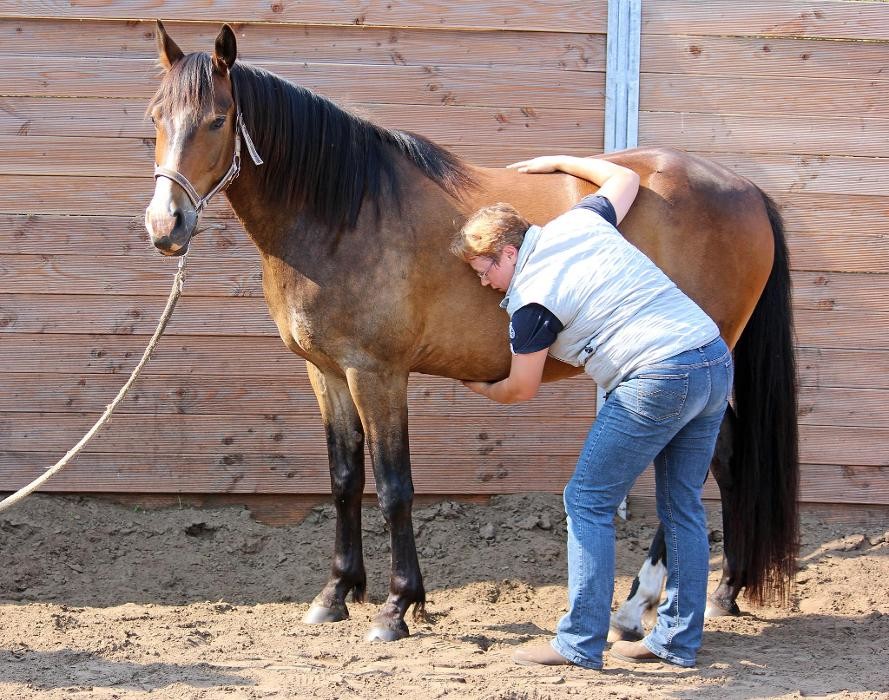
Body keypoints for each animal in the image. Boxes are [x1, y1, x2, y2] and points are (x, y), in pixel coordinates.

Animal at [146, 23, 796, 644]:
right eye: (155, 116)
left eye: (217, 119)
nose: (164, 224)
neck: (343, 215)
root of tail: (745, 189)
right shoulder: (326, 371)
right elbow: (344, 479)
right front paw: (336, 594)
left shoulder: (377, 373)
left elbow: (394, 486)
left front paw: (397, 605)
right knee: (727, 460)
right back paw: (723, 592)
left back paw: (637, 607)